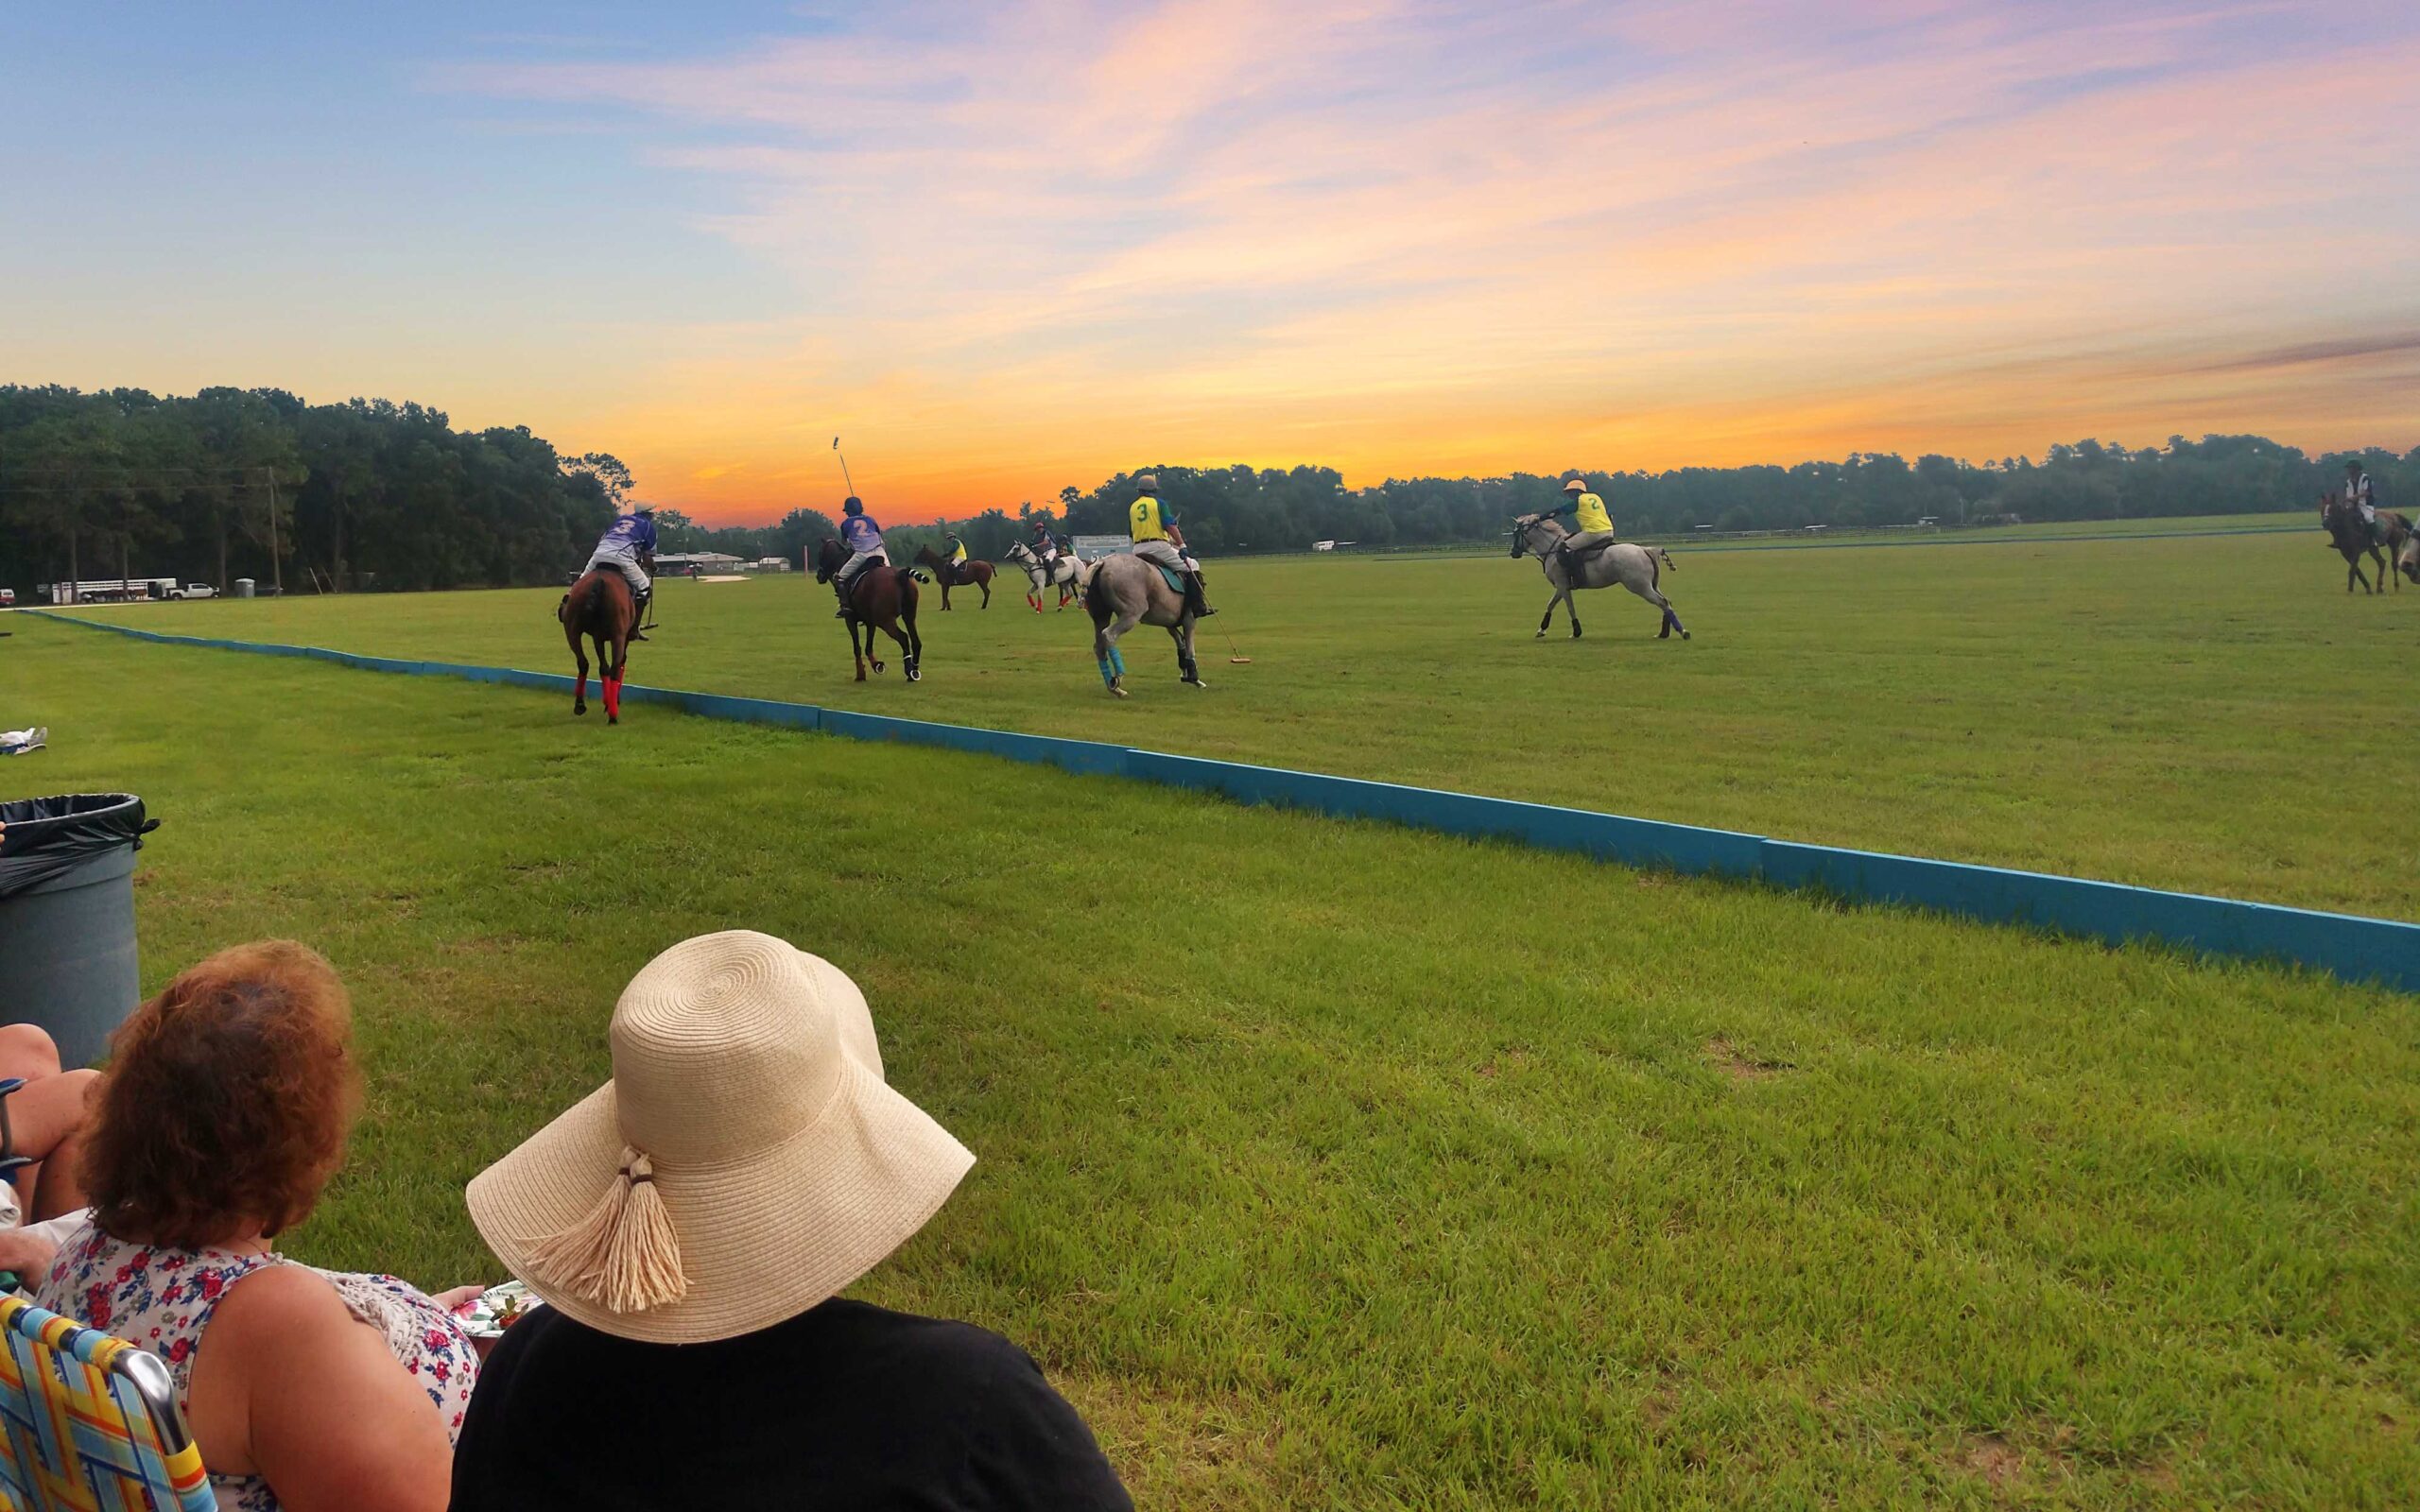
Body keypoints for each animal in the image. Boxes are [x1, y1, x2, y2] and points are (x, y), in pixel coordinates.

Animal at [561, 566, 638, 720]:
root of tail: (599, 581)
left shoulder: (597, 637)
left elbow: (603, 667)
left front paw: (606, 700)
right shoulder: (622, 636)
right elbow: (621, 662)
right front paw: (612, 701)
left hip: (572, 631)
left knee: (583, 663)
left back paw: (580, 705)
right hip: (618, 635)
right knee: (615, 667)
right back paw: (613, 715)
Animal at [813, 539, 924, 681]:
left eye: (820, 552)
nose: (819, 575)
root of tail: (900, 575)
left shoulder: (850, 620)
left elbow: (857, 648)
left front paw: (860, 674)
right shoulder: (871, 622)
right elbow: (868, 647)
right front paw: (877, 665)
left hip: (885, 620)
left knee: (903, 637)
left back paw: (908, 670)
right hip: (909, 616)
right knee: (916, 641)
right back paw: (914, 671)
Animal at [1094, 551, 1204, 696]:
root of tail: (1103, 563)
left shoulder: (1169, 621)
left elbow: (1181, 642)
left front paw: (1185, 674)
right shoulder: (1189, 619)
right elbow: (1190, 646)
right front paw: (1194, 678)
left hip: (1101, 615)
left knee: (1099, 646)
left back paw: (1116, 689)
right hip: (1132, 613)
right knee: (1109, 634)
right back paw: (1118, 677)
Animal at [1500, 515, 1694, 638]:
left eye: (1516, 533)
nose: (1513, 553)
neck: (1552, 549)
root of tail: (1646, 550)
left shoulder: (1563, 585)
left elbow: (1569, 607)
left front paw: (1576, 632)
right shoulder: (1561, 586)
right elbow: (1550, 605)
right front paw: (1541, 630)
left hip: (1639, 586)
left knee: (1662, 602)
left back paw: (1682, 633)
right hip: (1652, 584)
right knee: (1666, 601)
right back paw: (1664, 633)